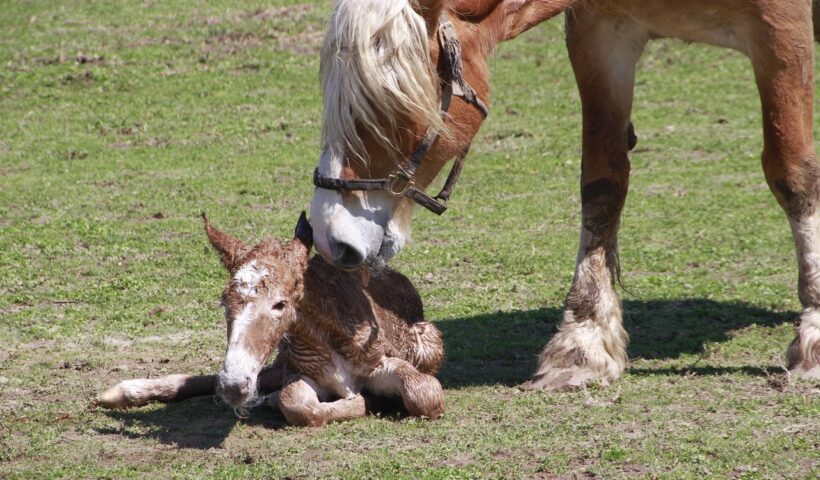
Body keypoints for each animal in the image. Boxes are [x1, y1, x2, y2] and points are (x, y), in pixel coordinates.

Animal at [310, 0, 820, 390]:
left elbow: (793, 173)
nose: (331, 238)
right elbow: (602, 185)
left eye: (391, 110)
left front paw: (812, 334)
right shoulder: (602, 33)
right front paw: (583, 342)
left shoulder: (780, 31)